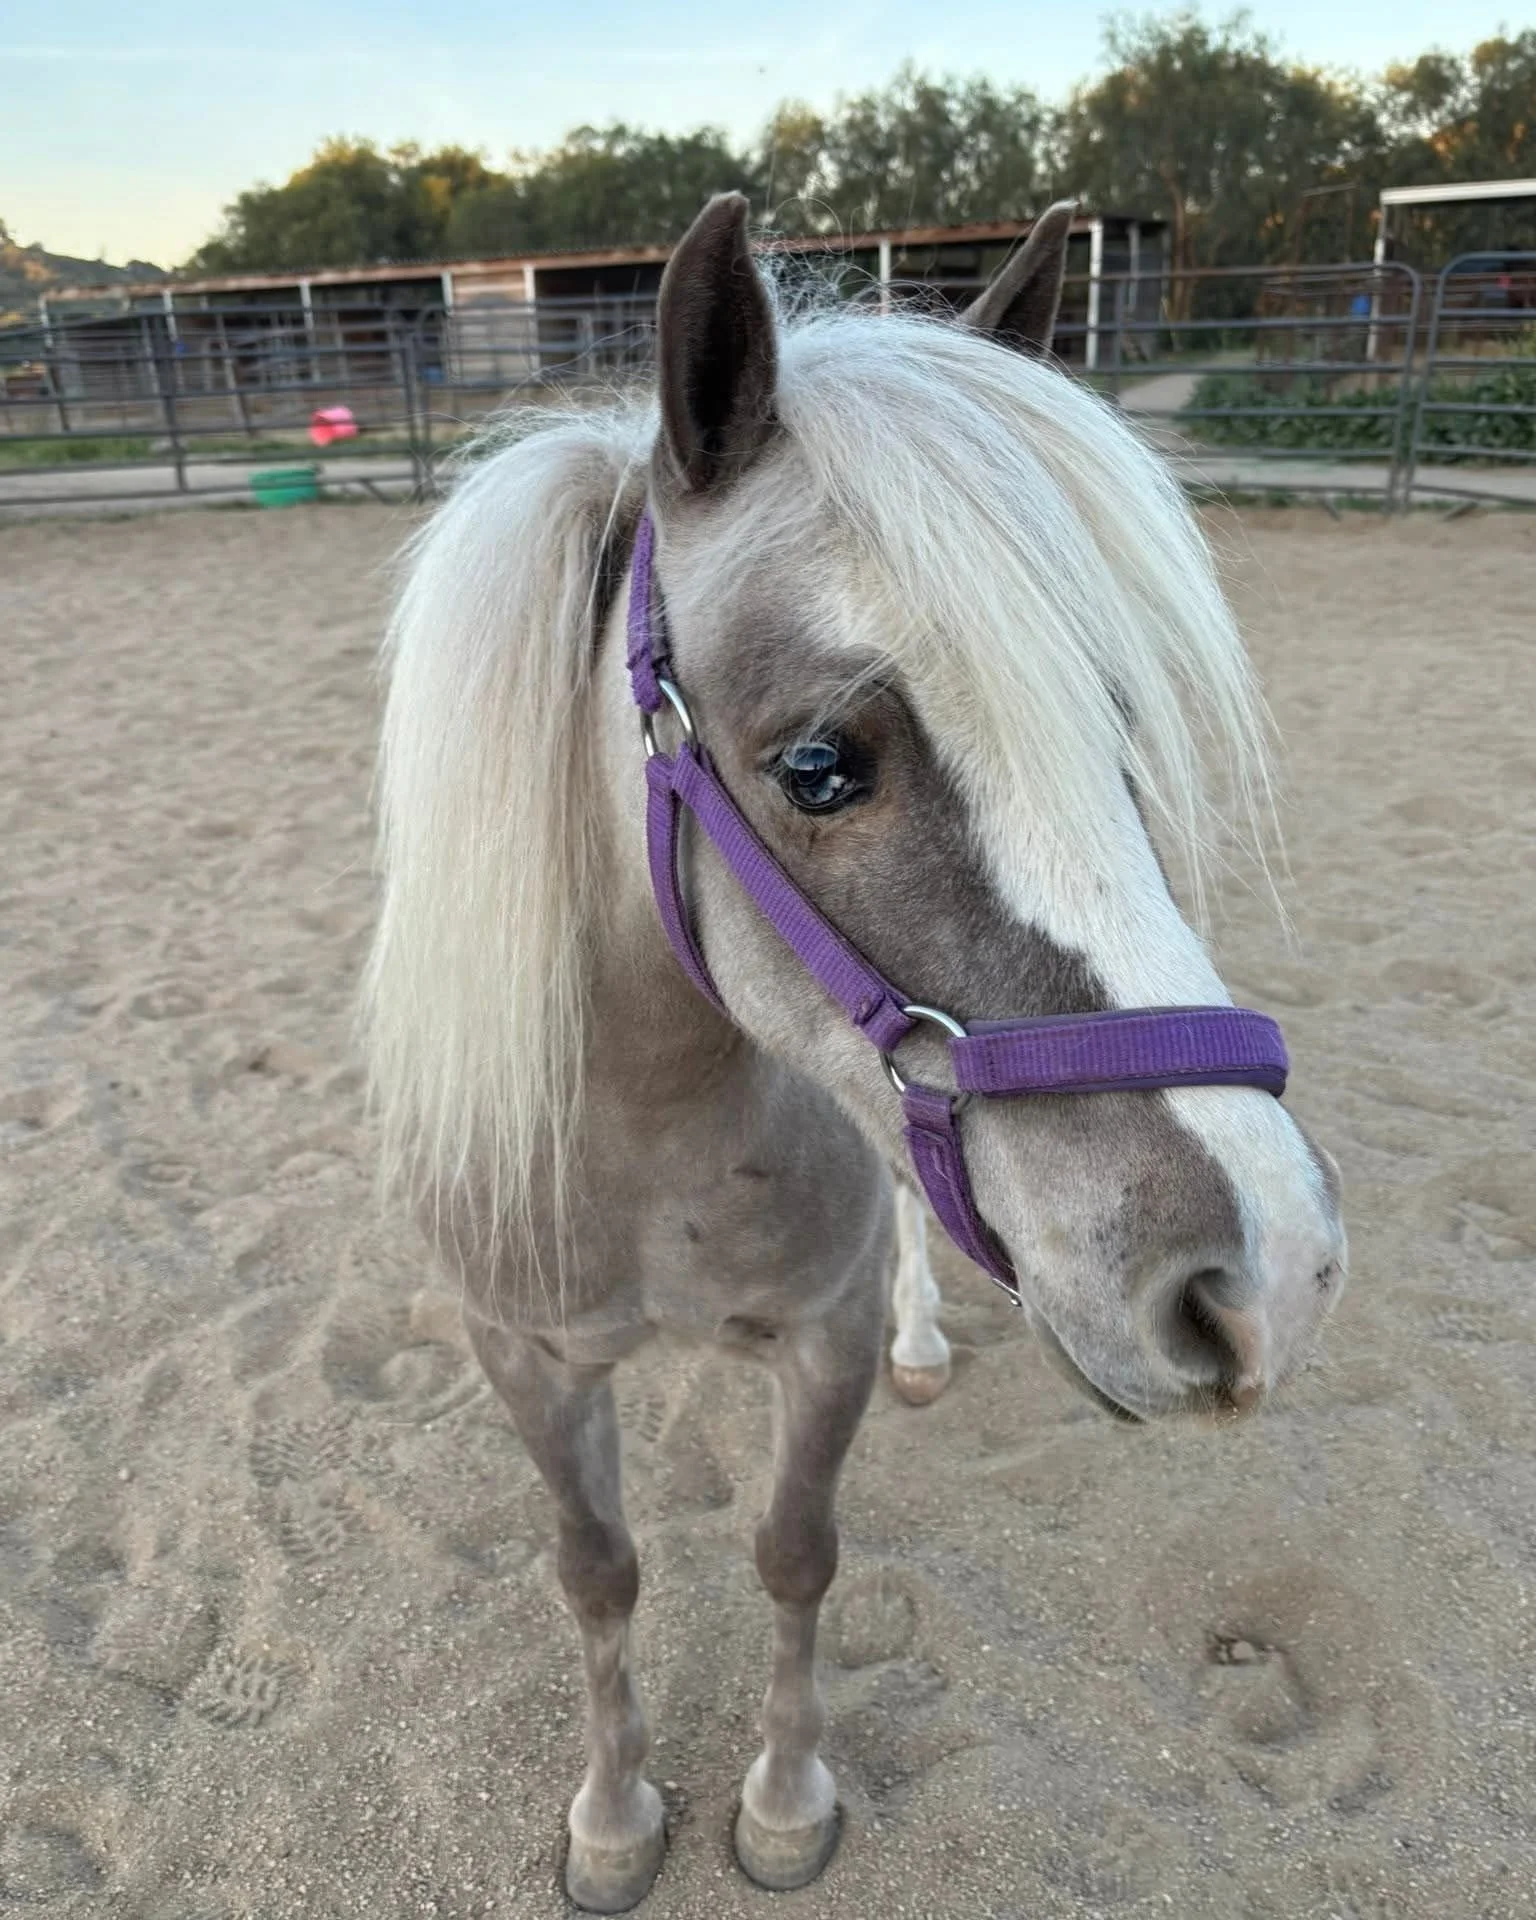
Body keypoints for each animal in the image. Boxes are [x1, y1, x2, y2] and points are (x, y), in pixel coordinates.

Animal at [363, 194, 1346, 1912]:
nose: (1264, 1276)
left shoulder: (816, 1341)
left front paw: (783, 1803)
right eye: (821, 766)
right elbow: (597, 1573)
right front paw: (613, 1820)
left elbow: (793, 1554)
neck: (652, 1140)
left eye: (1115, 729)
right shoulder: (525, 1358)